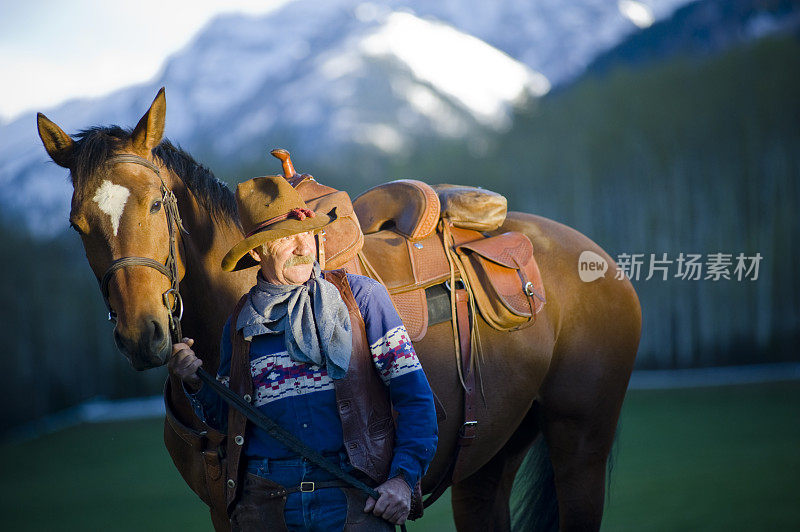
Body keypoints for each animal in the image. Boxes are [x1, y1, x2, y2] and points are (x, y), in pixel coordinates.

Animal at [37, 89, 640, 528]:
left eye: (156, 204)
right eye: (77, 223)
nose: (144, 334)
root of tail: (596, 258)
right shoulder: (227, 508)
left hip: (580, 444)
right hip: (489, 456)